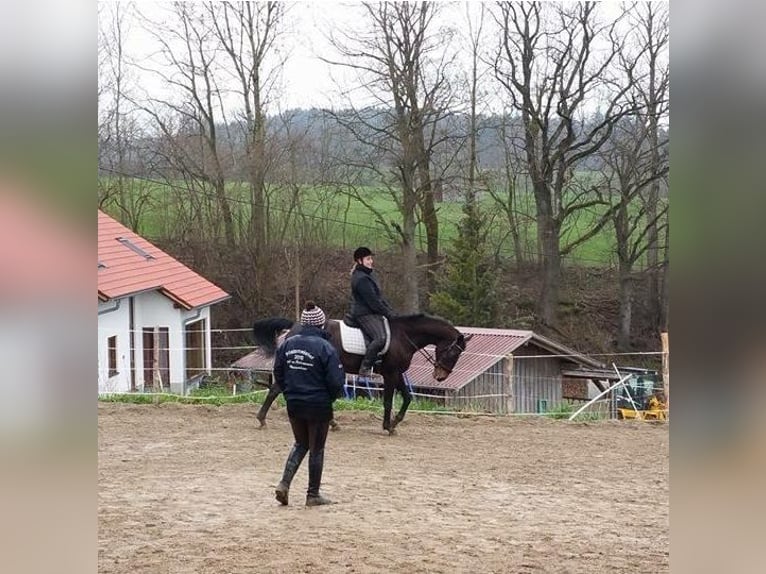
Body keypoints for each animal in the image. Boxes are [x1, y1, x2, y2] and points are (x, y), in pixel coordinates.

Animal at [252, 316, 472, 436]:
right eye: (454, 352)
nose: (440, 377)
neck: (404, 336)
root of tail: (296, 326)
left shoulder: (397, 372)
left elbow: (408, 397)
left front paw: (395, 422)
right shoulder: (390, 373)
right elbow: (388, 401)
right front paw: (388, 426)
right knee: (277, 389)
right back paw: (262, 419)